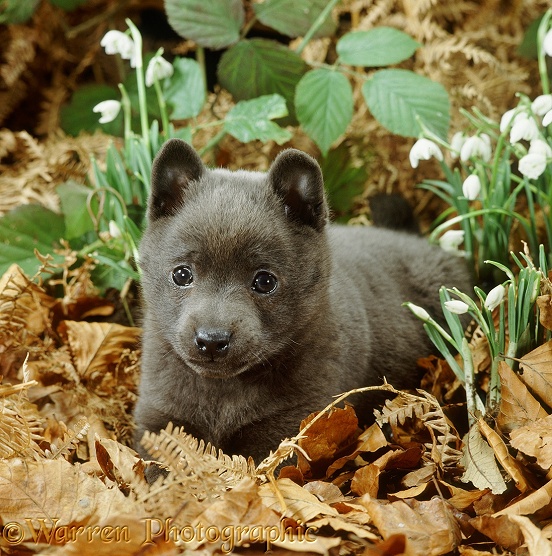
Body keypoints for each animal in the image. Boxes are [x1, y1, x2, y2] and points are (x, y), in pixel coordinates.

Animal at [135, 140, 470, 464]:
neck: (223, 391)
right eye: (182, 274)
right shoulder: (161, 418)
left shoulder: (290, 424)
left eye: (265, 281)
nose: (212, 340)